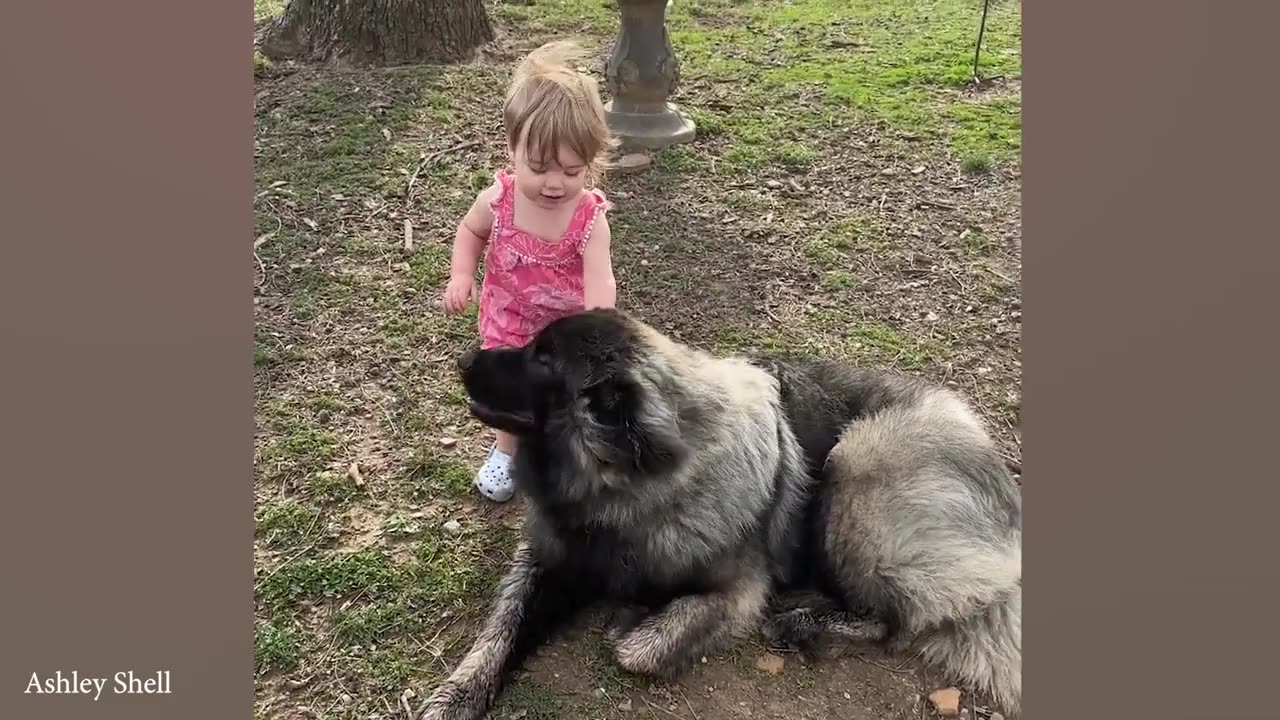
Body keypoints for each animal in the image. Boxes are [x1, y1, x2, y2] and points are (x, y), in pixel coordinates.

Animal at [409, 308, 1018, 717]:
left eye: (541, 359)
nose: (464, 359)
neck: (626, 492)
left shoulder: (736, 593)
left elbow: (639, 651)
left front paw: (631, 623)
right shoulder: (548, 560)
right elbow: (500, 632)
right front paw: (457, 696)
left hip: (855, 466)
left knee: (898, 622)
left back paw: (807, 622)